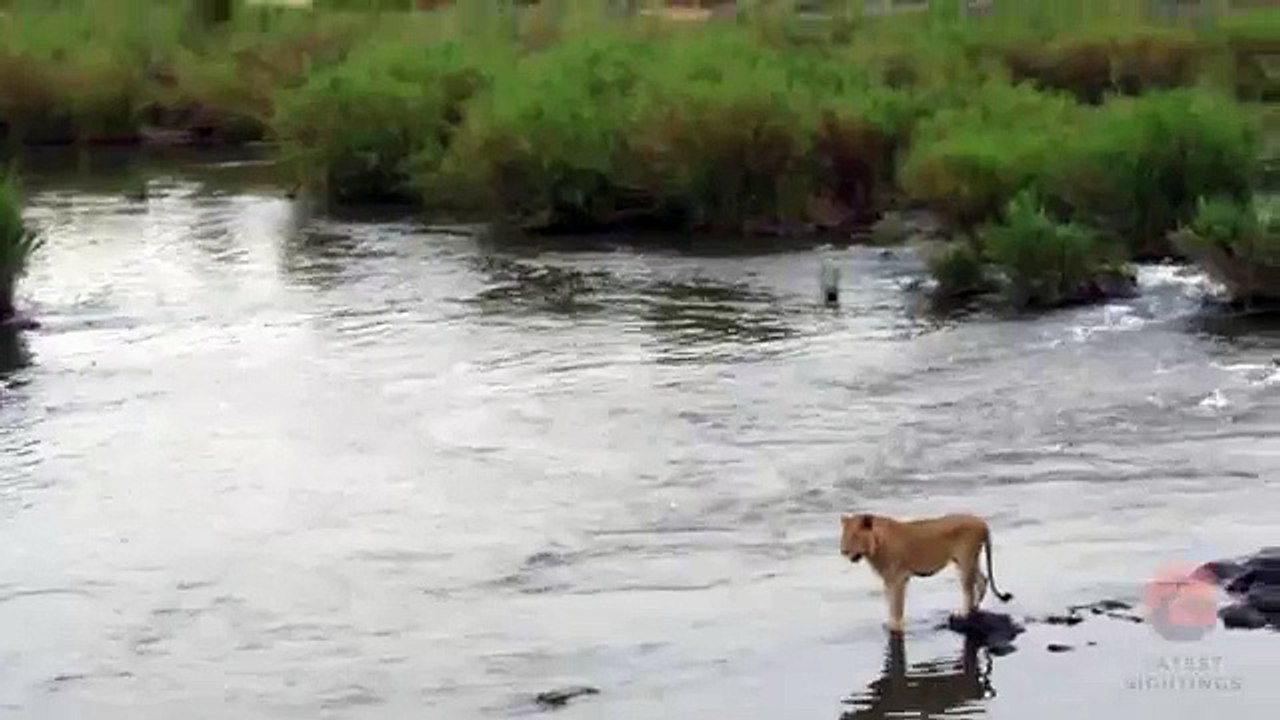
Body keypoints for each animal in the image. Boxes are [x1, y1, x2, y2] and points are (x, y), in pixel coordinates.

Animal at [840, 512, 1014, 633]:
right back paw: (974, 608)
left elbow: (896, 605)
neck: (875, 547)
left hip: (966, 559)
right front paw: (890, 623)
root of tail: (982, 522)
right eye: (844, 536)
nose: (843, 551)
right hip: (966, 561)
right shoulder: (888, 580)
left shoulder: (898, 579)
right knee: (982, 580)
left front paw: (895, 626)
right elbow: (891, 604)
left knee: (969, 589)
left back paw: (964, 613)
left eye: (854, 536)